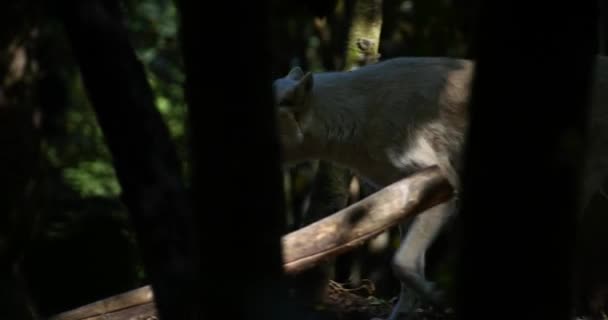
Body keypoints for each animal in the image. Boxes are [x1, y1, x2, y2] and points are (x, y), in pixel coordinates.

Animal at [274, 56, 608, 318]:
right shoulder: (406, 198)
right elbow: (409, 272)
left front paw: (438, 297)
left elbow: (400, 262)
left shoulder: (443, 188)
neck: (357, 113)